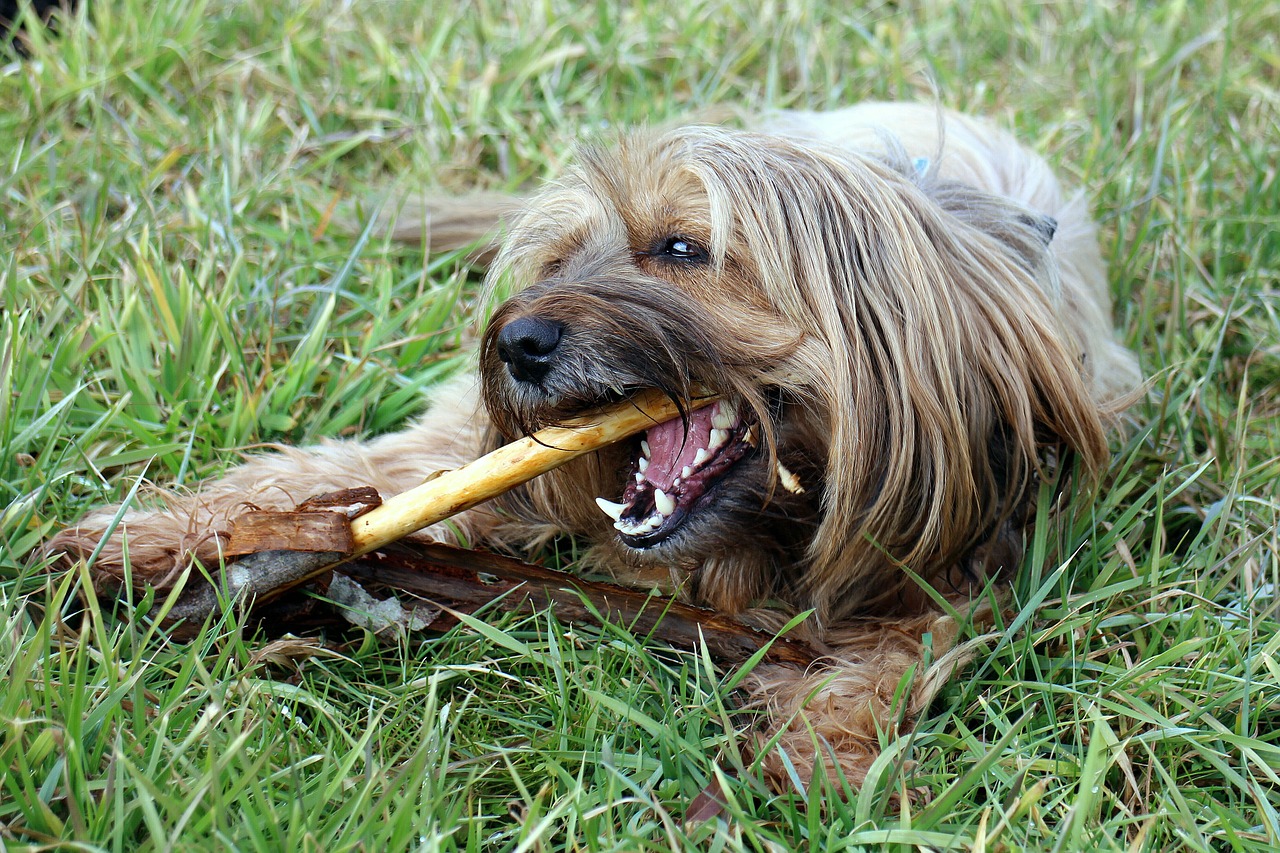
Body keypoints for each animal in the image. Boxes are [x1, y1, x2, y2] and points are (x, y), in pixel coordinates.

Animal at [47, 103, 1141, 788]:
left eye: (683, 247)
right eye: (561, 260)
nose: (517, 344)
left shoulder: (966, 560)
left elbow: (883, 661)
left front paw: (813, 758)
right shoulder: (468, 445)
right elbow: (360, 470)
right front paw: (167, 538)